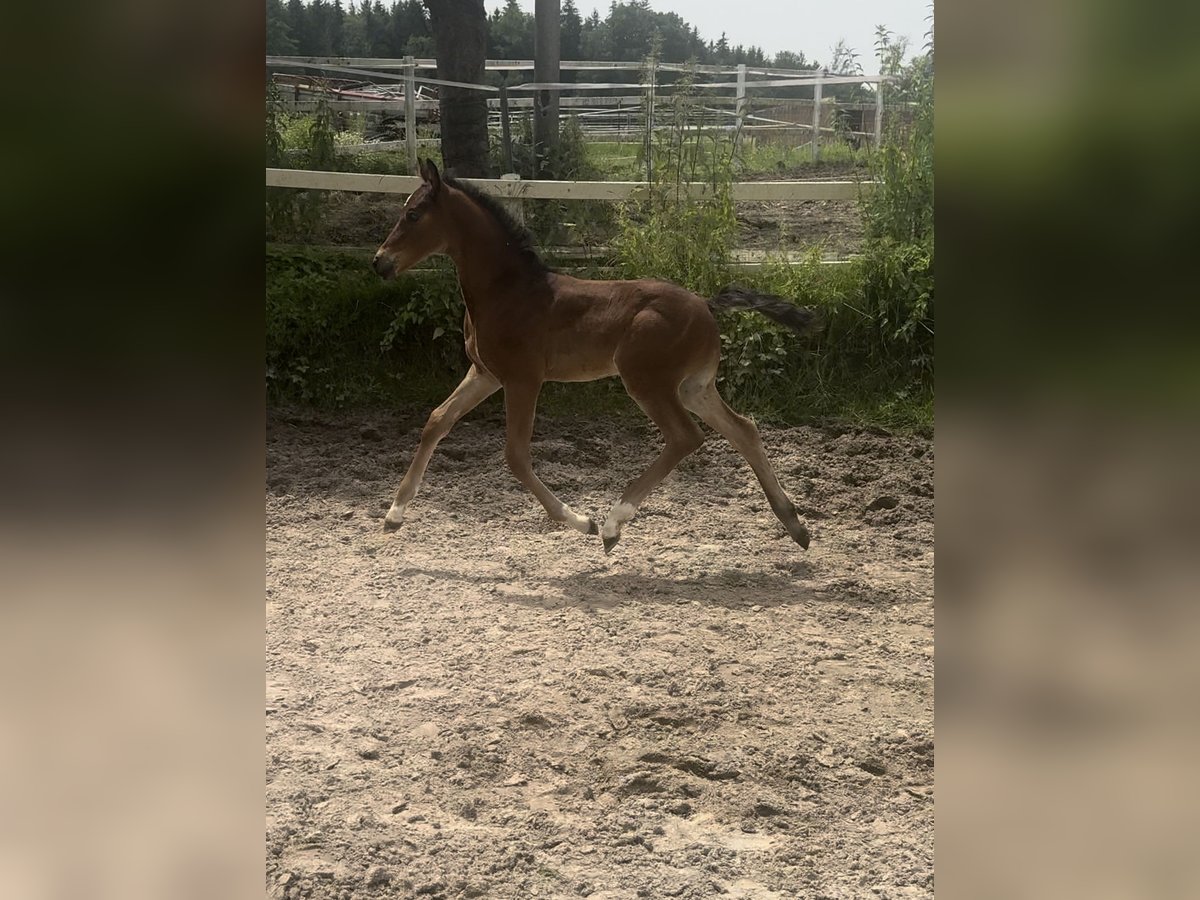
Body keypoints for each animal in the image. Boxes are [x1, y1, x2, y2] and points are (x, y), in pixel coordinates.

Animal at [367, 160, 816, 554]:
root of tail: (705, 305)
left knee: (686, 436)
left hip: (647, 381)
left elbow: (516, 456)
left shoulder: (522, 379)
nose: (379, 262)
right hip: (694, 387)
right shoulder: (484, 373)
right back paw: (795, 524)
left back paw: (614, 523)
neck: (507, 292)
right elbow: (436, 421)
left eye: (413, 214)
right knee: (744, 430)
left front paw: (582, 521)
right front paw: (393, 514)